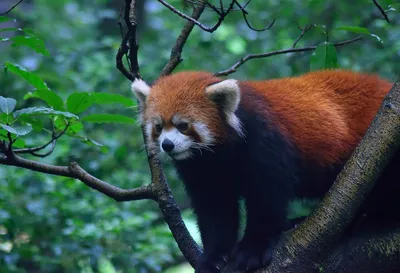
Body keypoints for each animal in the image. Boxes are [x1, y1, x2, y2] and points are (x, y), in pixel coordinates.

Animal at [132, 70, 396, 272]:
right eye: (158, 127)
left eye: (183, 125)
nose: (167, 145)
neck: (219, 155)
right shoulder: (203, 170)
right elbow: (215, 210)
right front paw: (214, 257)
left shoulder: (264, 141)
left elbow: (267, 198)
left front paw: (252, 250)